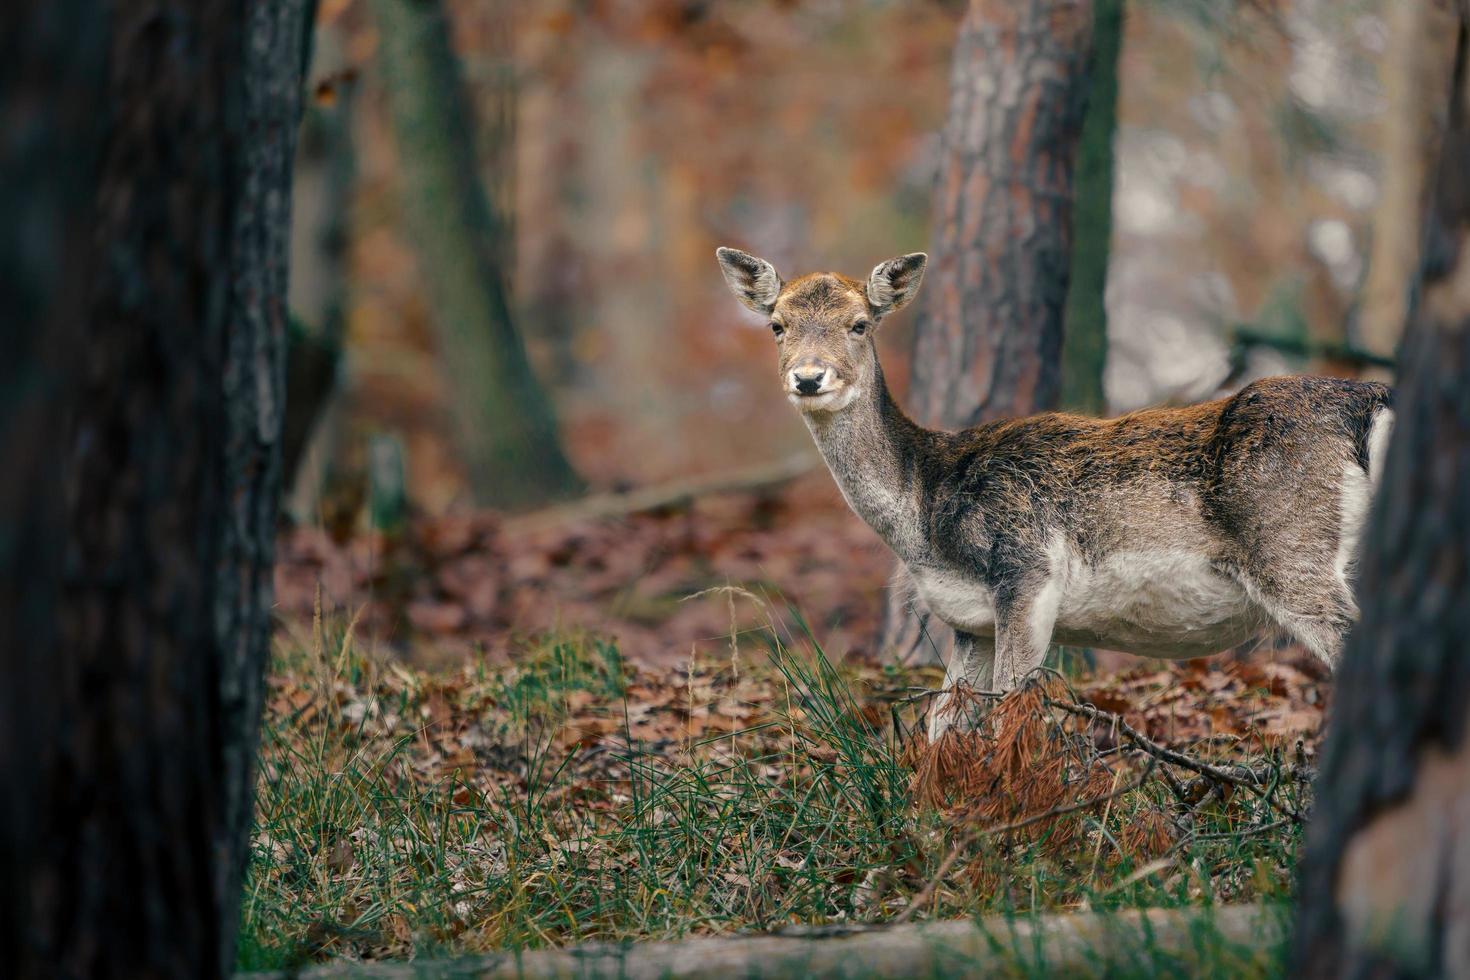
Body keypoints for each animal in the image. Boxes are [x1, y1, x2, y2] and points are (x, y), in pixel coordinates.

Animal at [717, 245, 1393, 734]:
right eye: (776, 325)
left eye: (859, 324)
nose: (809, 378)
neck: (922, 512)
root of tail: (1372, 403)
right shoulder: (970, 623)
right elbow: (941, 727)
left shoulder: (1025, 571)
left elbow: (1011, 717)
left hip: (1292, 553)